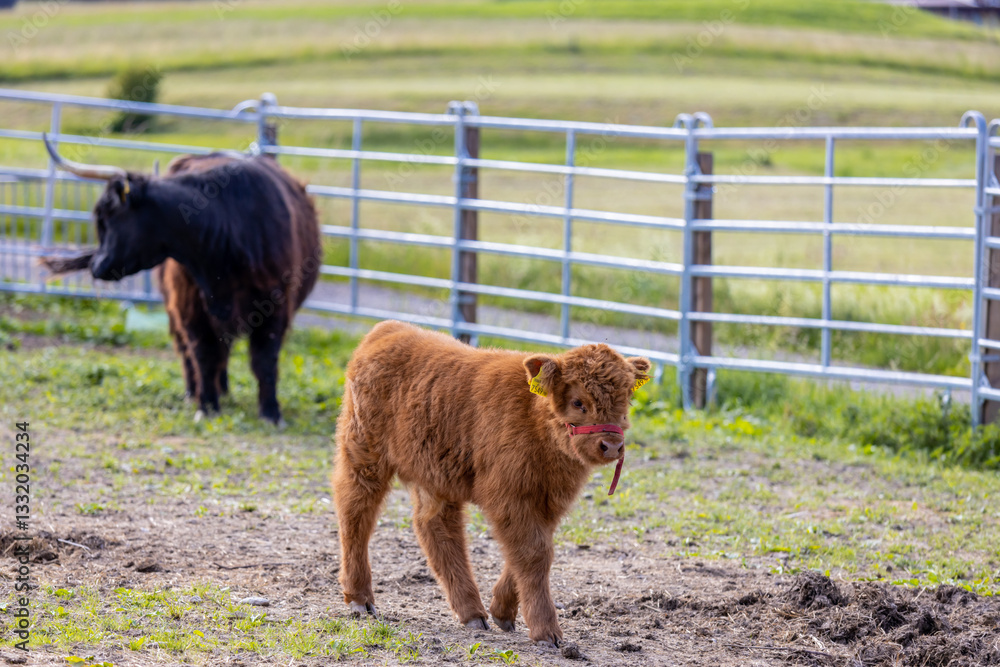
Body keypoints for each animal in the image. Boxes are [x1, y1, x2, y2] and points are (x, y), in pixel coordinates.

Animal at [41, 136, 321, 425]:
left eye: (105, 218)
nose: (96, 266)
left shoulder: (276, 305)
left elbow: (264, 360)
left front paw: (271, 412)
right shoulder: (189, 305)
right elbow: (203, 354)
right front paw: (206, 405)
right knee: (190, 349)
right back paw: (194, 391)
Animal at [332, 320, 650, 646]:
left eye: (625, 402)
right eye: (578, 402)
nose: (611, 446)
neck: (534, 418)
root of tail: (390, 328)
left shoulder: (549, 501)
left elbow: (531, 550)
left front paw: (503, 611)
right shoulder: (509, 496)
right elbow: (534, 554)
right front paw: (546, 630)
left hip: (434, 475)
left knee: (434, 526)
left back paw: (472, 612)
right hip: (364, 455)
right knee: (356, 510)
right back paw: (360, 597)